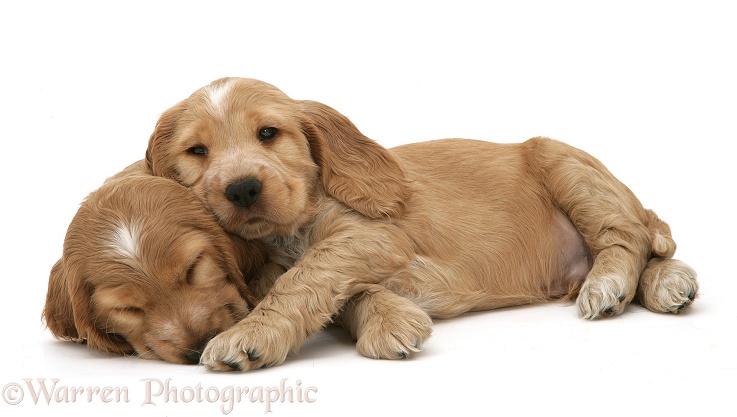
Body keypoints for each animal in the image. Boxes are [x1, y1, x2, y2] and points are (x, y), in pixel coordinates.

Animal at [147, 76, 700, 368]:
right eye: (197, 152)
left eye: (268, 133)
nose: (241, 189)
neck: (289, 230)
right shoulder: (279, 264)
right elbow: (337, 292)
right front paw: (393, 321)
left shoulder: (372, 234)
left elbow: (307, 276)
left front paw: (247, 337)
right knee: (649, 243)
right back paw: (667, 284)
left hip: (563, 162)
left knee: (628, 235)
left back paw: (610, 285)